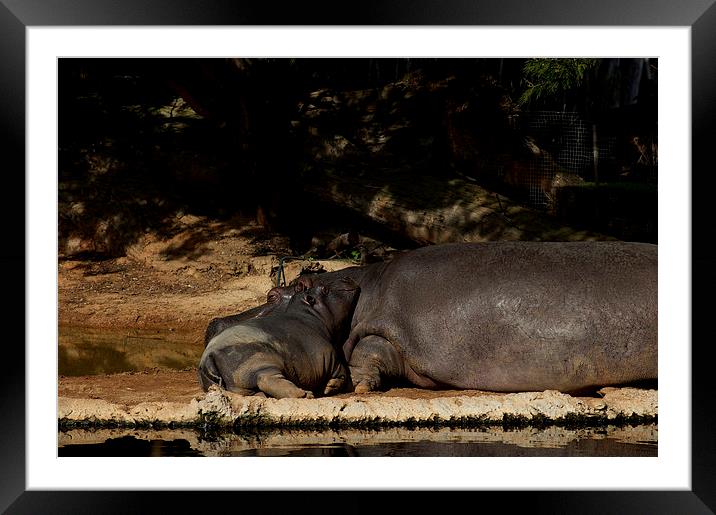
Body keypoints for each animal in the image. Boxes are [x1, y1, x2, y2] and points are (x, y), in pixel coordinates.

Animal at [196, 278, 360, 400]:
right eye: (324, 289)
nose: (345, 278)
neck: (310, 314)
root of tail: (209, 357)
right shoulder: (330, 357)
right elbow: (342, 373)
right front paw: (328, 387)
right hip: (259, 362)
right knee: (266, 380)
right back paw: (305, 394)